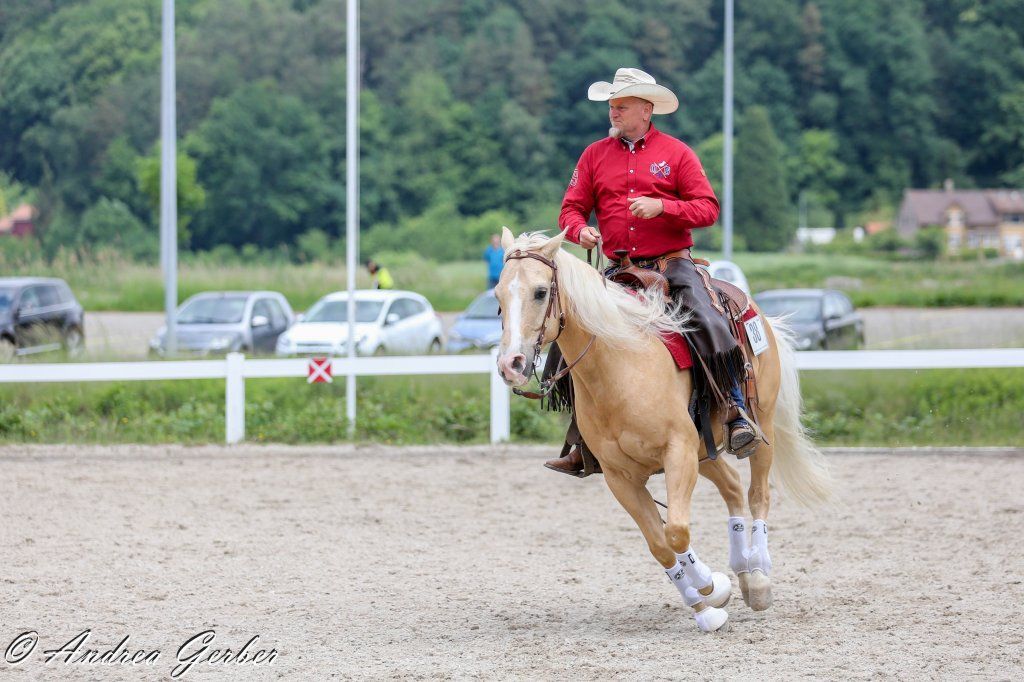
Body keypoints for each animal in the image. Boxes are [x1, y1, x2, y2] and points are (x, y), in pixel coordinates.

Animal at [493, 227, 831, 633]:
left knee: (757, 494)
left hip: (760, 427)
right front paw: (707, 605)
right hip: (704, 451)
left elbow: (676, 531)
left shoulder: (677, 452)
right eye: (498, 295)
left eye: (541, 292)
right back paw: (742, 573)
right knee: (733, 488)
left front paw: (708, 586)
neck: (620, 366)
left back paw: (760, 577)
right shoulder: (621, 477)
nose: (511, 364)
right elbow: (659, 544)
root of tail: (757, 311)